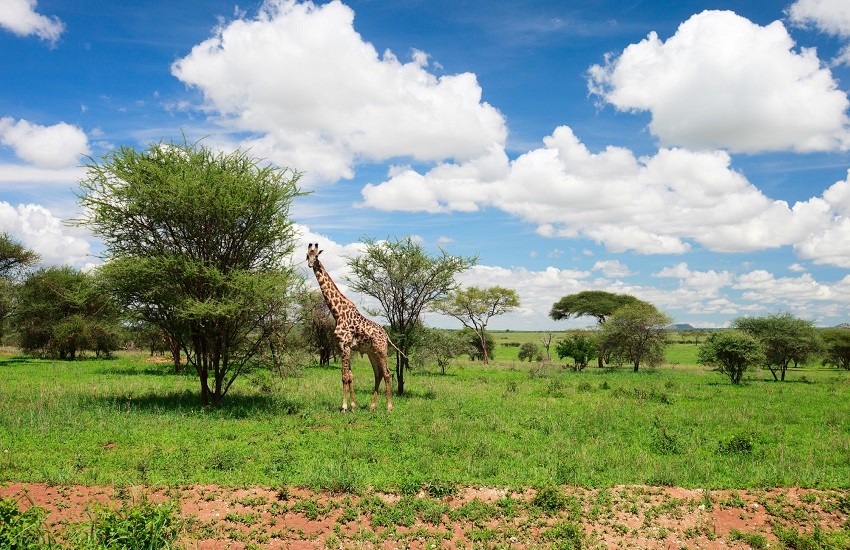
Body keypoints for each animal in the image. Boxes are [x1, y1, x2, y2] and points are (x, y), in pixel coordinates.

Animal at [304, 244, 394, 412]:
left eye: (316, 256)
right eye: (307, 255)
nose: (311, 264)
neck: (337, 312)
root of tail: (386, 335)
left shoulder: (344, 345)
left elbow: (344, 376)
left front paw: (344, 407)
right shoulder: (343, 347)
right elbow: (350, 376)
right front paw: (353, 406)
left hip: (381, 350)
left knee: (387, 373)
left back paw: (389, 407)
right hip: (371, 352)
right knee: (378, 373)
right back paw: (372, 406)